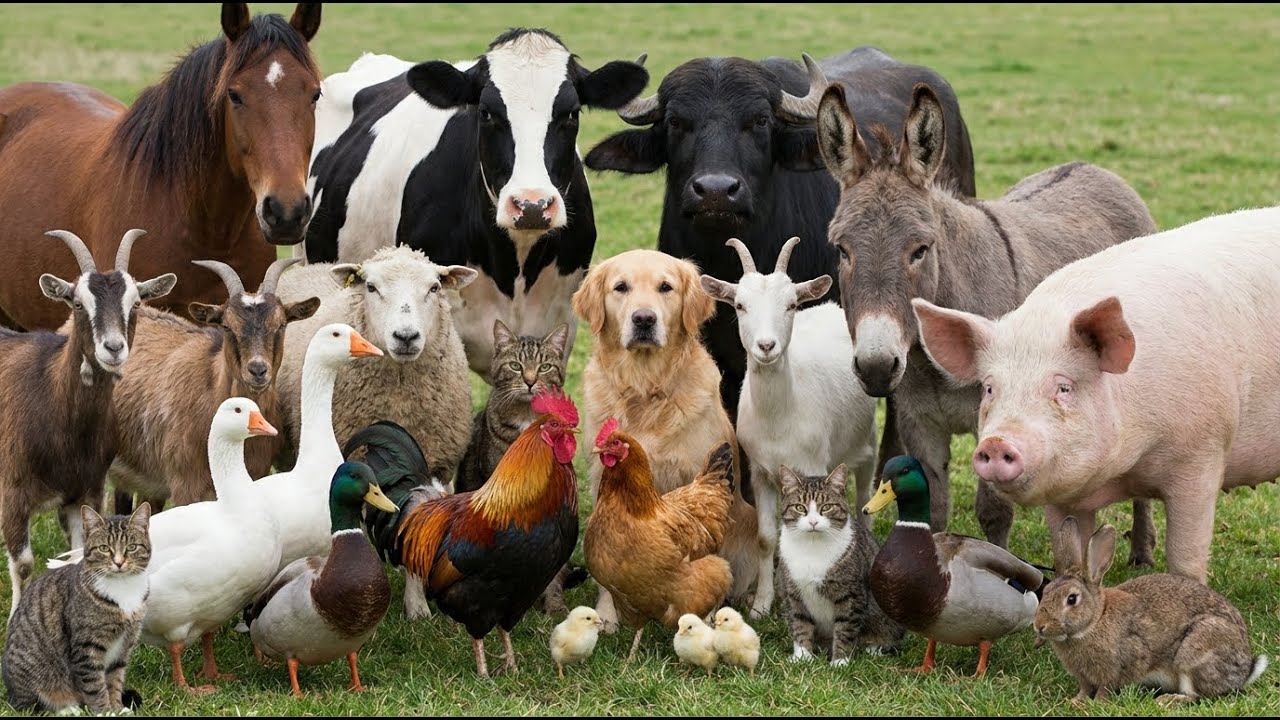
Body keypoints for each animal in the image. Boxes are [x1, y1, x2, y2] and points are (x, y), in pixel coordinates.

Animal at [0, 229, 175, 614]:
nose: (113, 348)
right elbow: (23, 565)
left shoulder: (87, 490)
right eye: (77, 304)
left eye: (135, 304)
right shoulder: (12, 493)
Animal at [274, 245, 478, 483]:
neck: (400, 397)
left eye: (434, 288)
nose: (406, 336)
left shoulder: (440, 465)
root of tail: (310, 267)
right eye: (371, 287)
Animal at [700, 236, 879, 619]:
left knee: (864, 499)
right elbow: (767, 538)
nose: (766, 346)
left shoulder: (814, 466)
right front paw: (762, 604)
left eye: (791, 305)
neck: (779, 419)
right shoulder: (760, 472)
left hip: (866, 441)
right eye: (740, 305)